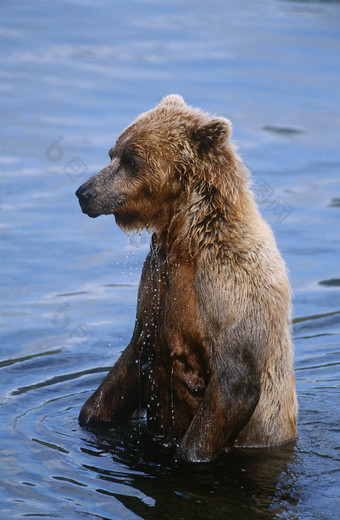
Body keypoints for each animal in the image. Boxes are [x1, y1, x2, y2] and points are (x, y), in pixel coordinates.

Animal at [75, 94, 298, 464]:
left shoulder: (229, 287)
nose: (85, 192)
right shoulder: (154, 282)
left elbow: (233, 381)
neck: (183, 241)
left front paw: (190, 454)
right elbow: (132, 358)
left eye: (133, 160)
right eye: (112, 153)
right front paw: (92, 414)